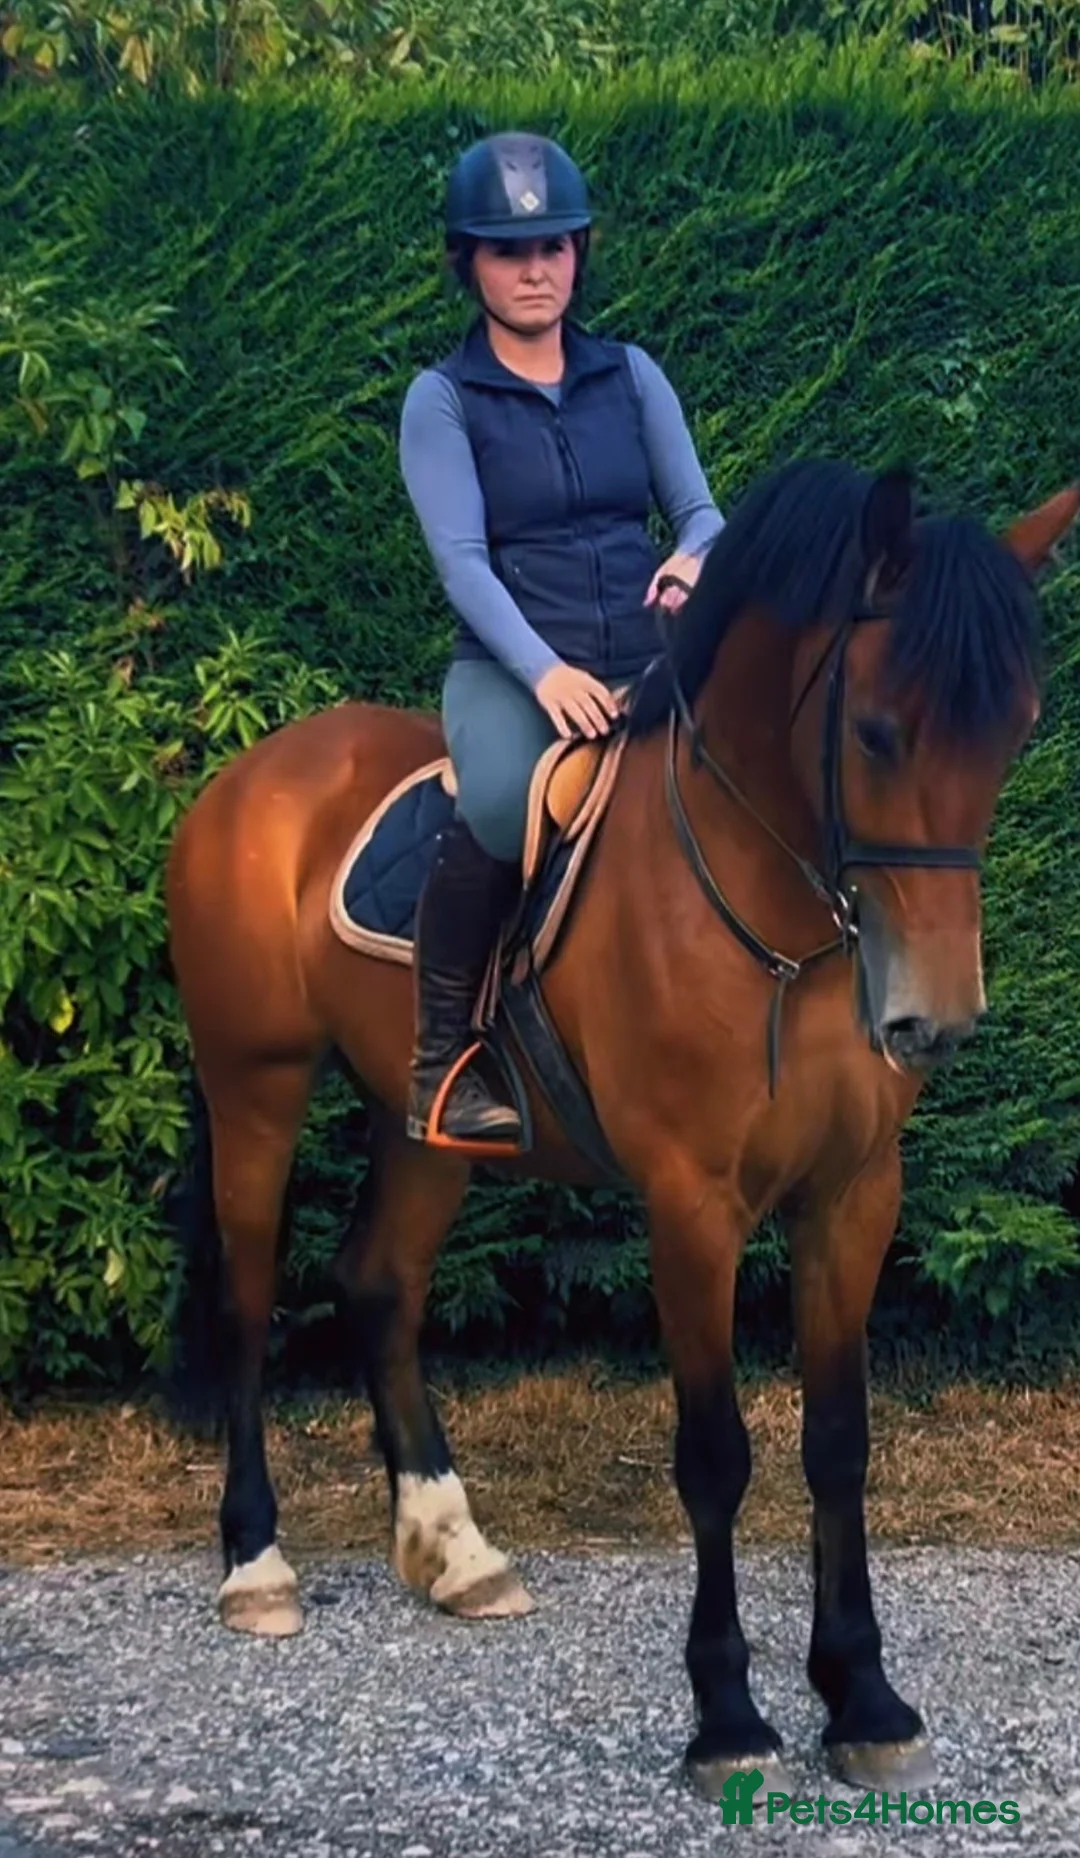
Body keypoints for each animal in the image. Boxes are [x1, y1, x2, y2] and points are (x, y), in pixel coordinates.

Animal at [163, 455, 1079, 1803]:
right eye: (874, 730)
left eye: (1014, 729)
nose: (936, 1019)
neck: (766, 907)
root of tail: (253, 776)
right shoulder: (692, 1208)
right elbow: (716, 1455)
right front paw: (729, 1714)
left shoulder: (853, 1194)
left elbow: (839, 1440)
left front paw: (862, 1694)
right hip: (256, 1091)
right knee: (244, 1299)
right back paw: (257, 1565)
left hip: (426, 1125)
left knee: (379, 1281)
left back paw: (455, 1547)